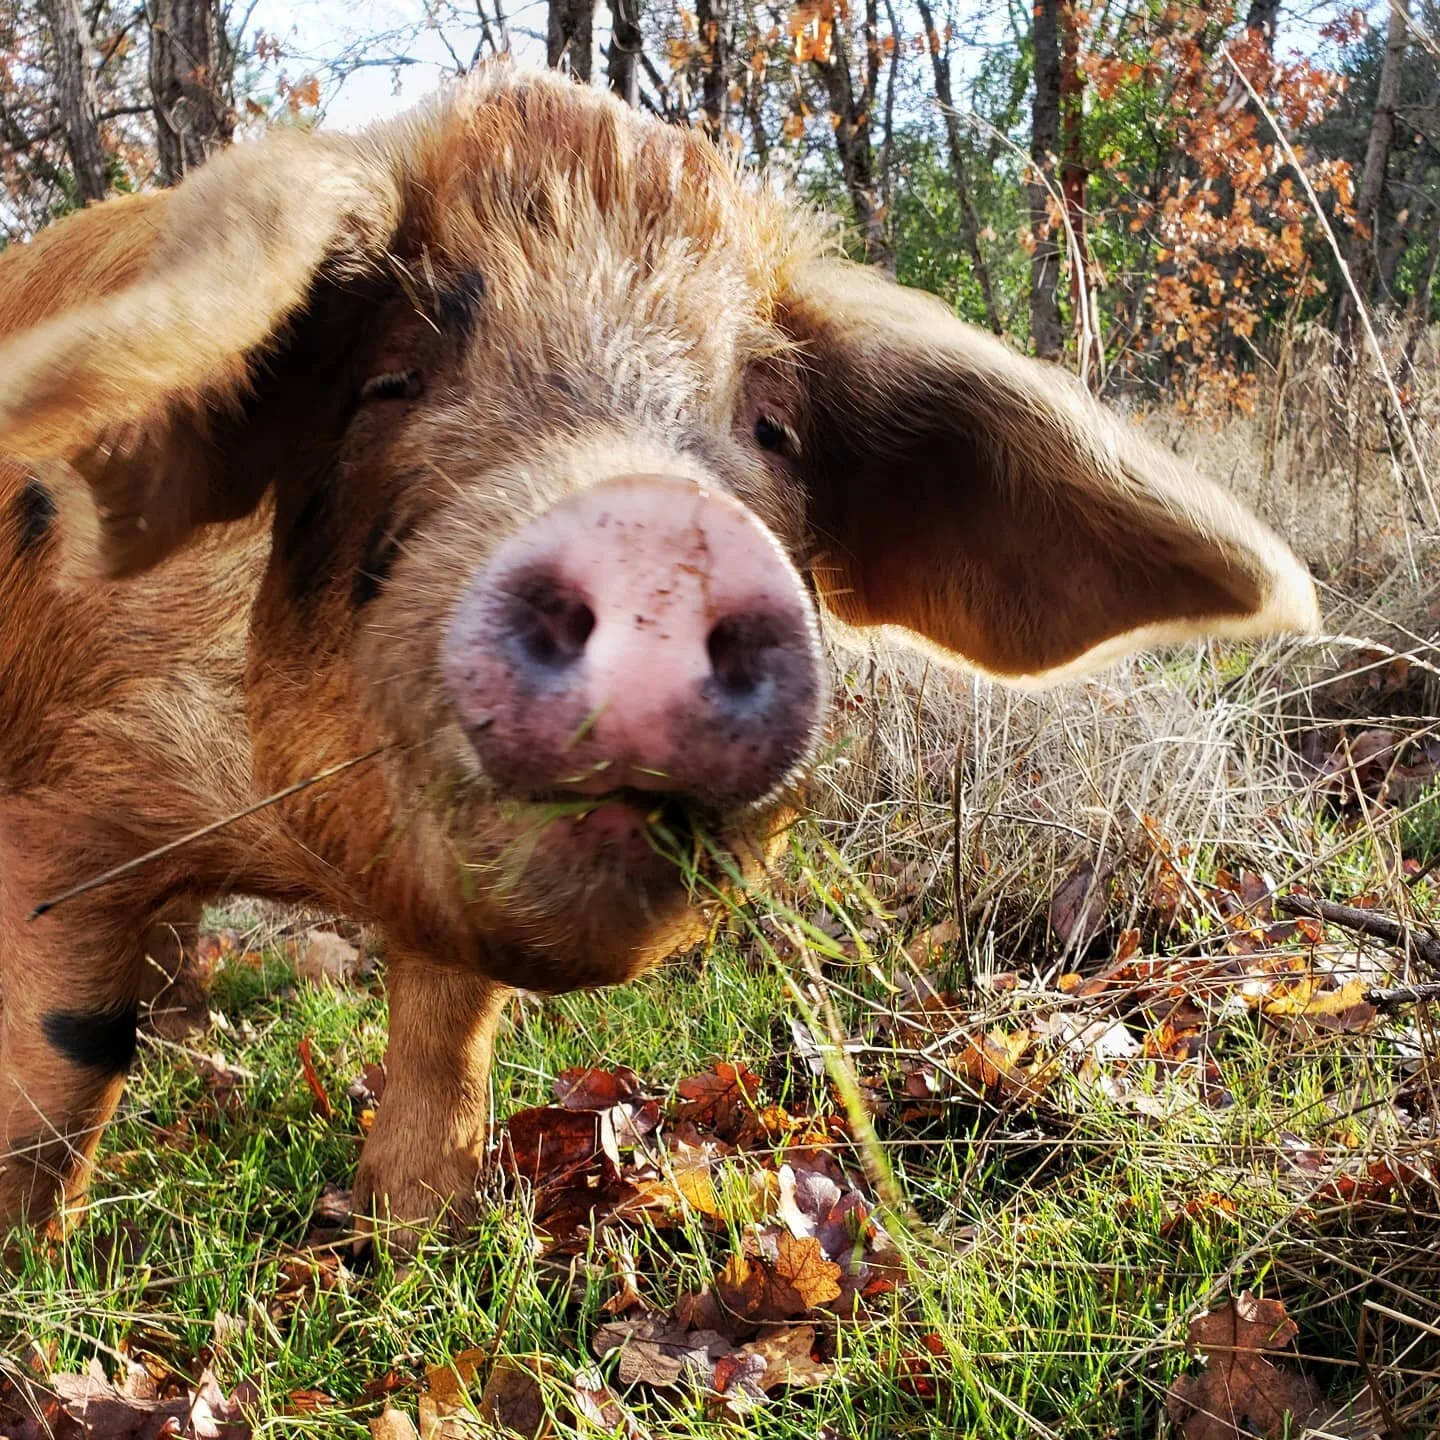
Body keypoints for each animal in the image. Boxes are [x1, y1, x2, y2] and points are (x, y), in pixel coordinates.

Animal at [0, 68, 1318, 1247]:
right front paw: (36, 1274)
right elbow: (62, 1072)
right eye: (387, 379)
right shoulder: (56, 814)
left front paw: (413, 1238)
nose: (650, 527)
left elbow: (446, 1046)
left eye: (773, 426)